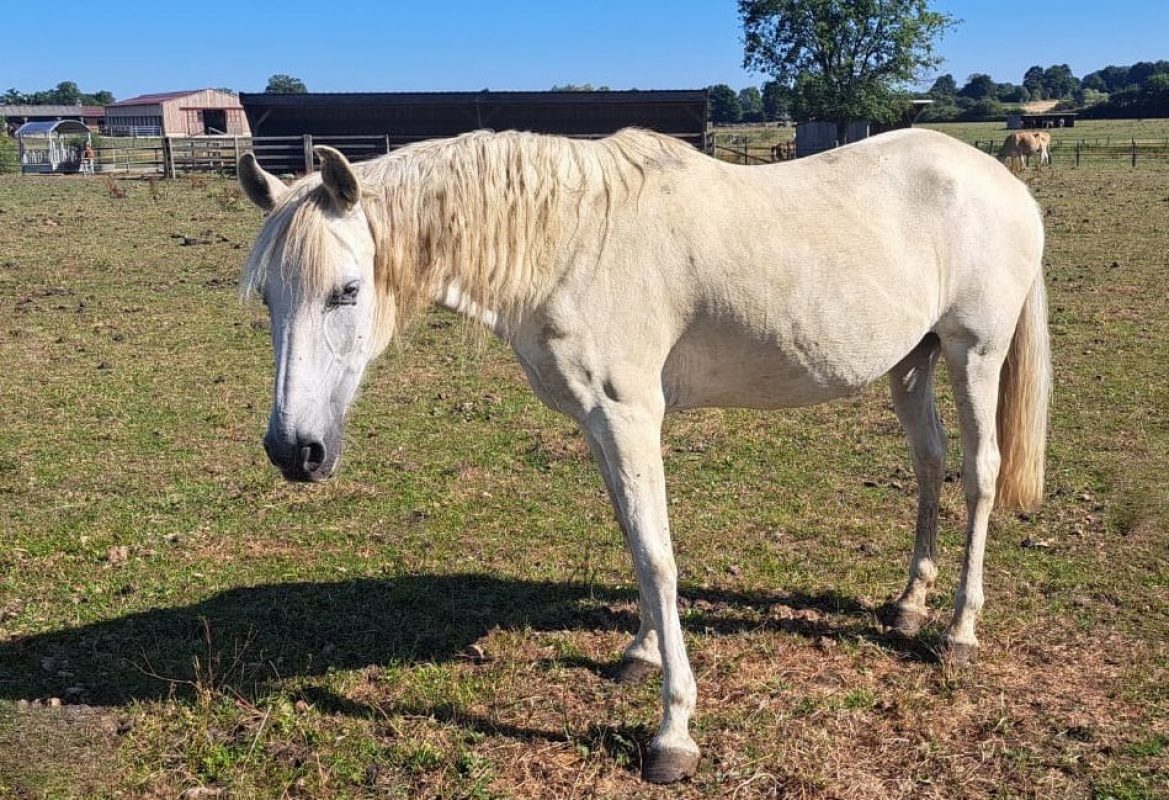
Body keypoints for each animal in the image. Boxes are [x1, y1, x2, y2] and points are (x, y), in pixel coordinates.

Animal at [237, 126, 1050, 784]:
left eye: (347, 290)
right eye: (270, 297)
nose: (293, 450)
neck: (570, 245)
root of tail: (1000, 178)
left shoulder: (630, 416)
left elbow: (659, 557)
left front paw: (673, 733)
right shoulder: (601, 425)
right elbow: (636, 541)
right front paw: (641, 653)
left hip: (973, 353)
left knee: (978, 475)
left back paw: (959, 631)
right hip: (911, 359)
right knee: (928, 461)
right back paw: (909, 604)